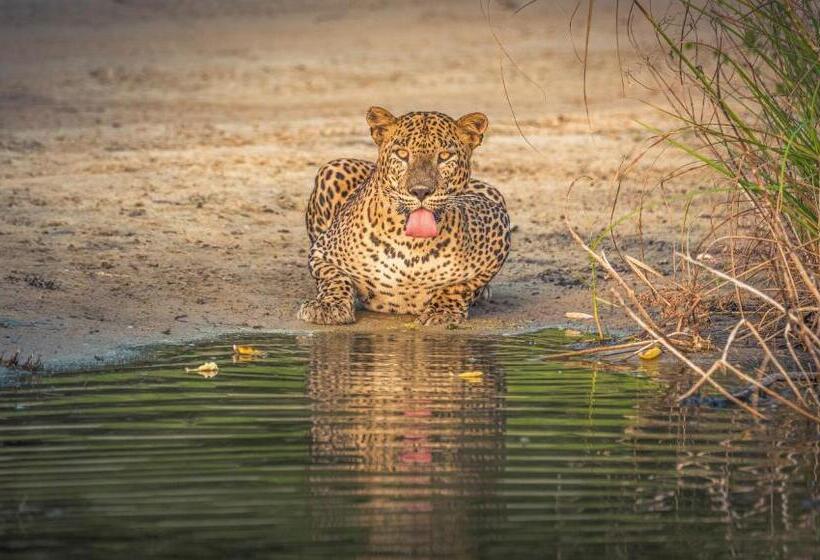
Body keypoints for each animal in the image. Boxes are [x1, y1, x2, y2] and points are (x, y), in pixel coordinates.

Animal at [298, 106, 511, 326]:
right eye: (402, 154)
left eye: (444, 156)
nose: (420, 191)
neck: (411, 245)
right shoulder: (322, 252)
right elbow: (334, 277)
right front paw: (328, 306)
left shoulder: (498, 226)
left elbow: (461, 285)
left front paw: (442, 311)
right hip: (333, 168)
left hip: (493, 192)